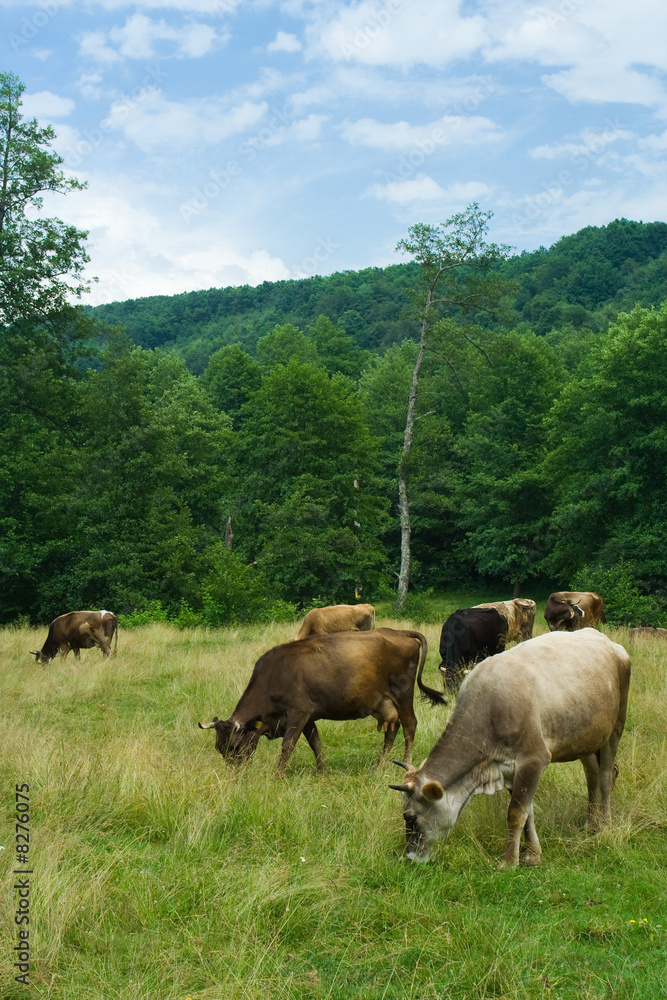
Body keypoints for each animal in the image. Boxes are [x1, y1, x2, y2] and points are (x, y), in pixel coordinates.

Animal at [201, 624, 446, 772]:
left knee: (410, 726)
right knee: (391, 729)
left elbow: (288, 745)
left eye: (235, 746)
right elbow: (315, 743)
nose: (235, 775)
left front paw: (277, 775)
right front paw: (322, 772)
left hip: (403, 693)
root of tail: (400, 631)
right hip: (383, 701)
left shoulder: (298, 713)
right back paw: (378, 766)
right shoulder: (308, 716)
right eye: (220, 749)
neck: (274, 677)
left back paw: (407, 762)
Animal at [388, 632, 628, 868]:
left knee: (605, 776)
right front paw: (532, 856)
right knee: (592, 775)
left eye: (410, 817)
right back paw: (591, 823)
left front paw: (508, 861)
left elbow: (516, 813)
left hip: (615, 727)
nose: (411, 857)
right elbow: (528, 812)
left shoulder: (533, 760)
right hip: (586, 738)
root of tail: (606, 640)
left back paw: (605, 824)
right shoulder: (510, 769)